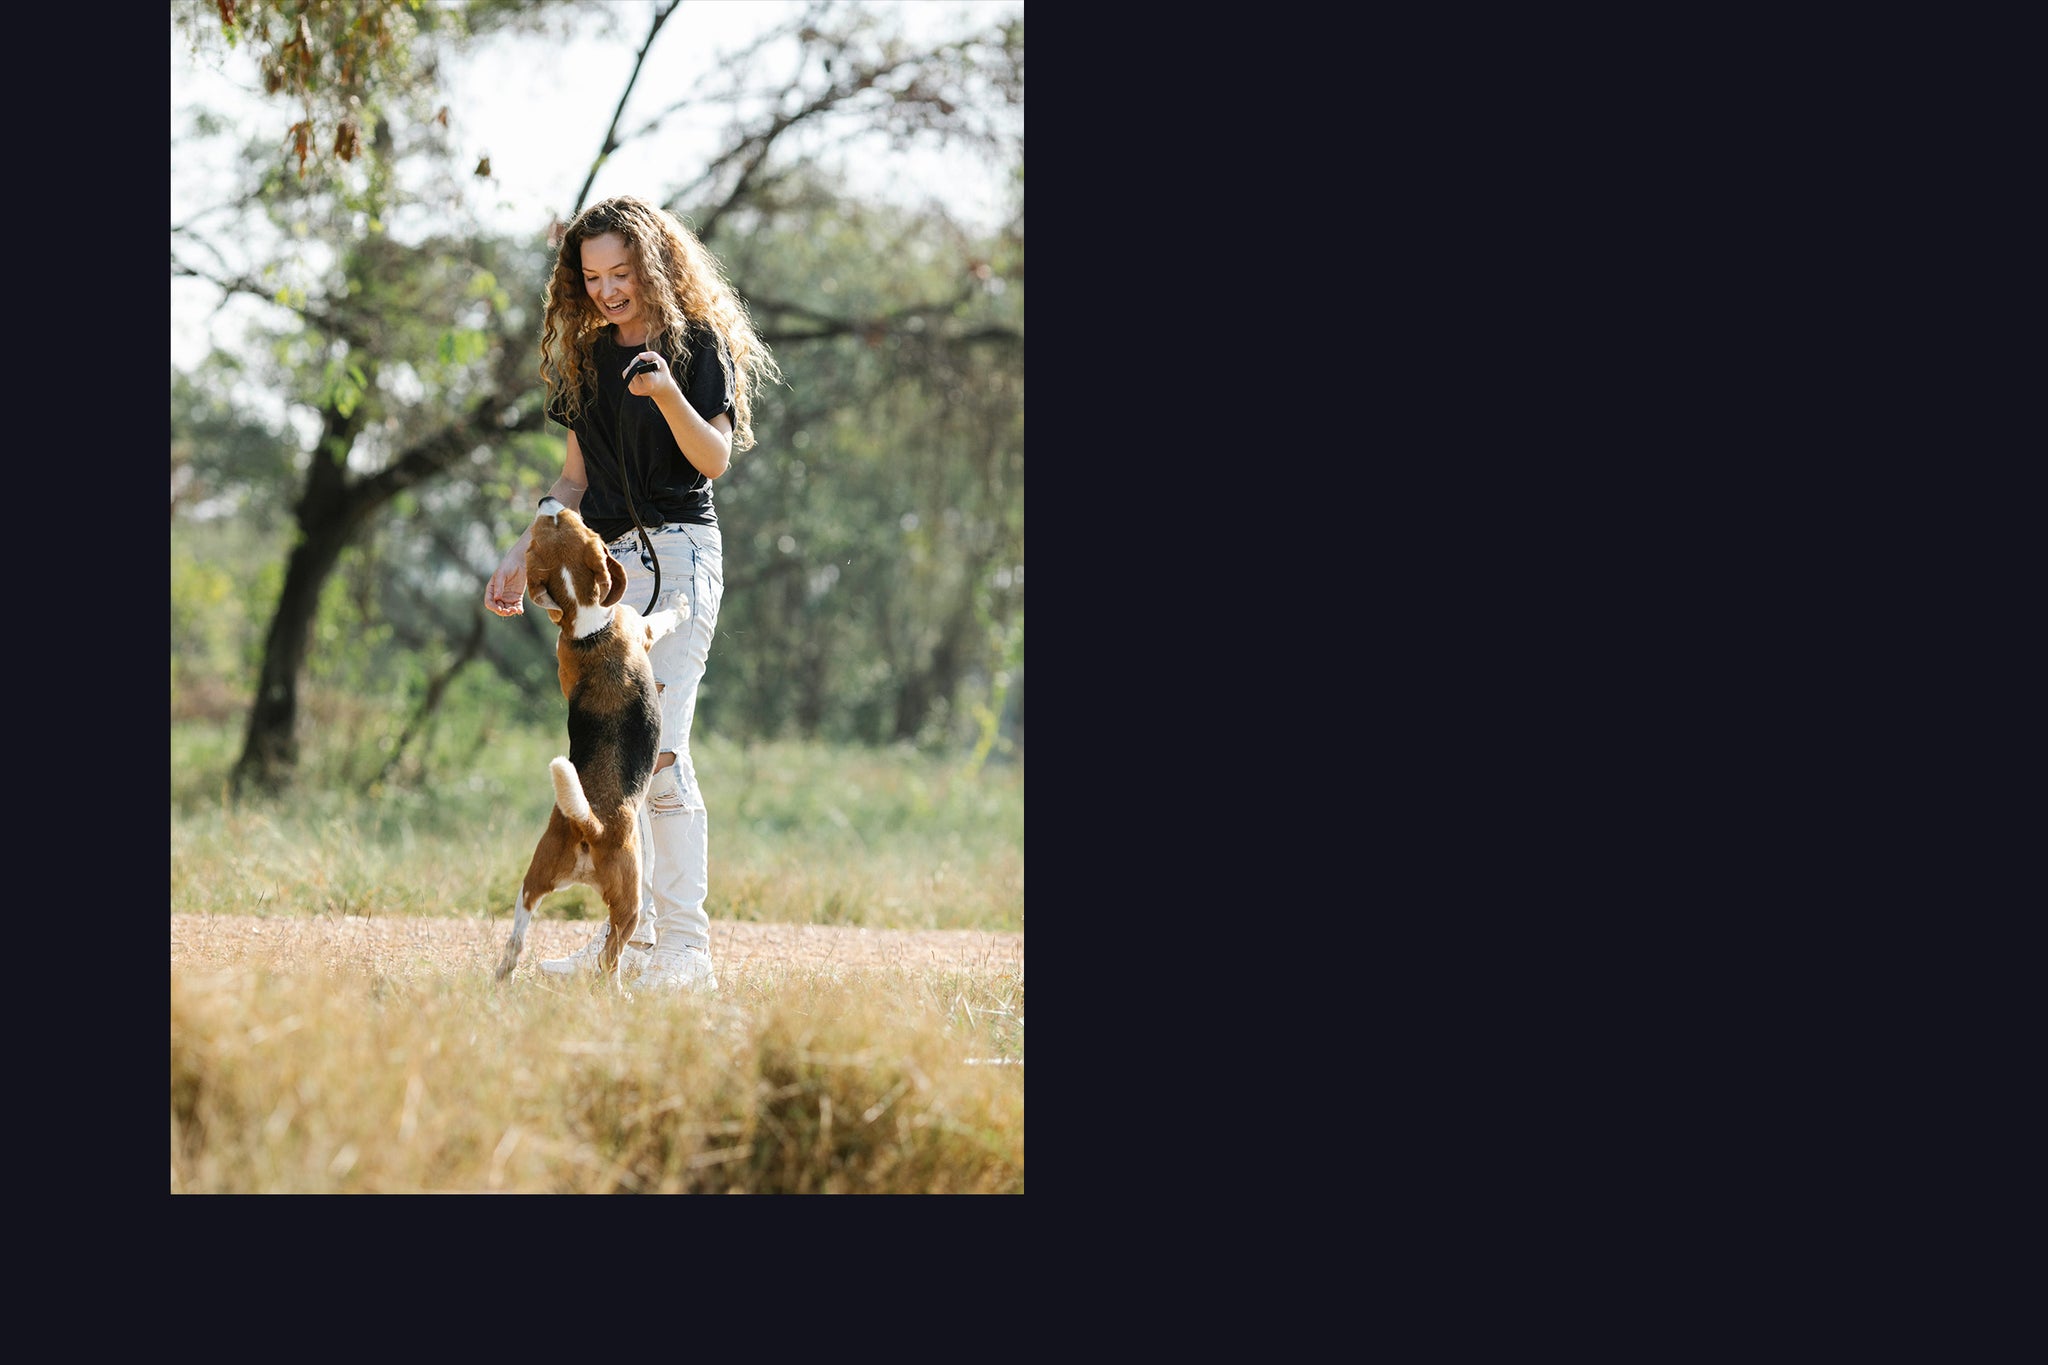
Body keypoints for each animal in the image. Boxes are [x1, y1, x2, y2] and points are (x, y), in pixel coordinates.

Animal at [491, 497, 684, 986]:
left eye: (556, 523)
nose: (547, 500)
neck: (586, 623)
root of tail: (589, 825)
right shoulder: (640, 627)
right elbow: (663, 618)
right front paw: (679, 601)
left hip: (533, 879)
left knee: (516, 937)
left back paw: (503, 975)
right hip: (629, 903)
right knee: (609, 959)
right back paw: (618, 993)